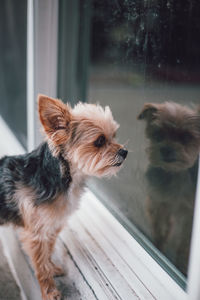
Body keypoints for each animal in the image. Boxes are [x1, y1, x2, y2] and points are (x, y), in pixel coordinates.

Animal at [0, 94, 128, 300]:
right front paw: (49, 291)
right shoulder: (36, 233)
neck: (62, 175)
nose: (124, 152)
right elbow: (41, 264)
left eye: (114, 135)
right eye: (99, 141)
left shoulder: (53, 225)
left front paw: (52, 269)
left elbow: (48, 253)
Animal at [138, 102, 200, 276]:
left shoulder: (190, 215)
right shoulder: (159, 203)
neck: (175, 172)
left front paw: (181, 265)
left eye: (186, 137)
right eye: (158, 135)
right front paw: (158, 249)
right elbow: (160, 229)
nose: (166, 149)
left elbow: (186, 243)